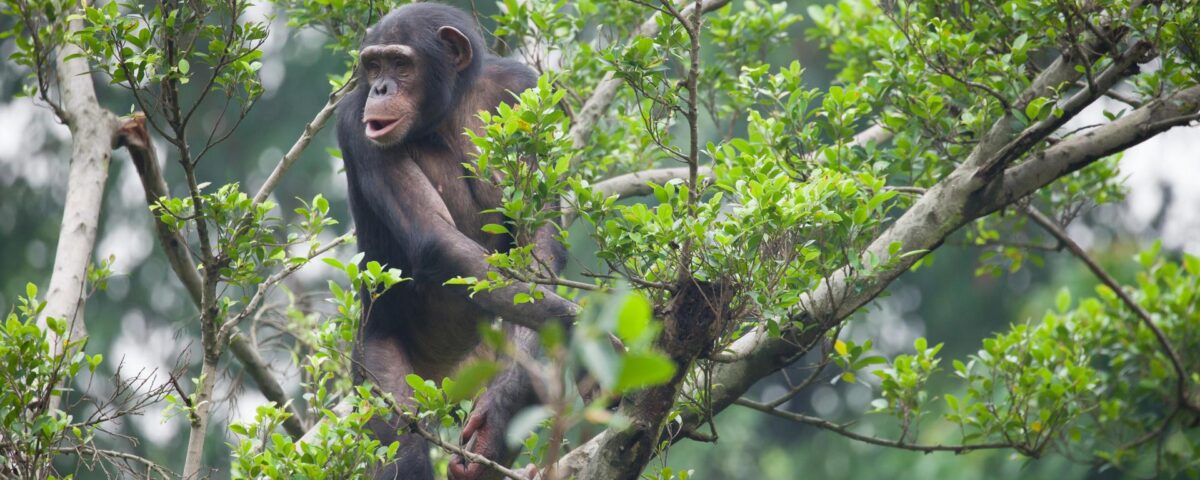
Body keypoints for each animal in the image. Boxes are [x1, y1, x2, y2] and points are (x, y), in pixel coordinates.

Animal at [334, 4, 576, 480]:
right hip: (376, 362)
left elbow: (537, 240)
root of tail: (444, 382)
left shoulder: (526, 90)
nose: (380, 88)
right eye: (373, 65)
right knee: (401, 447)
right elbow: (434, 238)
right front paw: (578, 318)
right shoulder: (354, 120)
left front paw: (496, 415)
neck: (450, 106)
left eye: (400, 64)